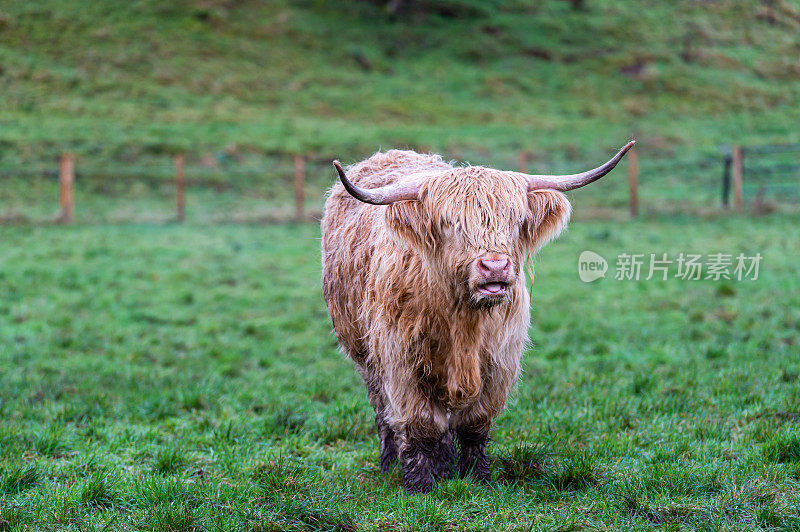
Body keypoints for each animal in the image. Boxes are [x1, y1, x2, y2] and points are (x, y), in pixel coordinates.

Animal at [318, 142, 632, 494]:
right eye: (449, 222)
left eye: (516, 219)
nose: (494, 266)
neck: (465, 320)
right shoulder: (400, 358)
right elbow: (419, 423)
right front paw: (420, 483)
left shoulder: (500, 359)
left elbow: (475, 423)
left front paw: (476, 476)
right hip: (365, 357)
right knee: (383, 410)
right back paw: (392, 463)